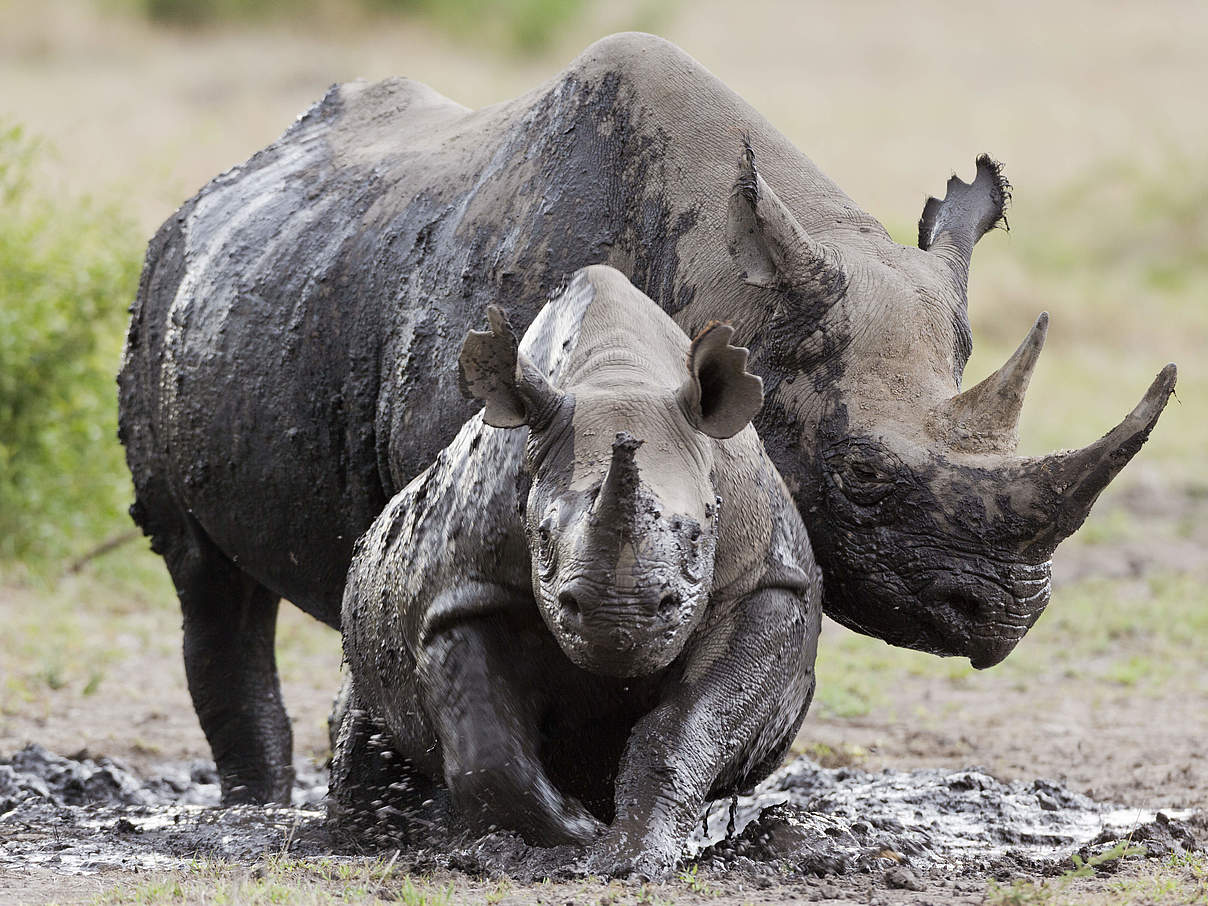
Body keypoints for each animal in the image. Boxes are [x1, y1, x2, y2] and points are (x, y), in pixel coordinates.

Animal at [330, 265, 821, 874]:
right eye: (540, 534)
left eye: (701, 528)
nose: (620, 619)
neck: (617, 375)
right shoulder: (462, 596)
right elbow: (488, 752)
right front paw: (577, 840)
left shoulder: (764, 583)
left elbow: (687, 726)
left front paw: (631, 858)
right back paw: (365, 836)